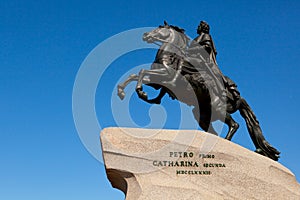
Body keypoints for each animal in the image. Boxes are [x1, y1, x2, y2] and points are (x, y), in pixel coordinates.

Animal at [116, 21, 278, 160]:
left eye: (160, 28)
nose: (145, 35)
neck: (169, 55)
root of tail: (237, 98)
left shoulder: (165, 76)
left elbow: (141, 72)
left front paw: (141, 92)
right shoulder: (157, 81)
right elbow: (135, 75)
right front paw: (122, 92)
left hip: (218, 109)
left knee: (234, 124)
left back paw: (226, 142)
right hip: (202, 114)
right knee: (212, 130)